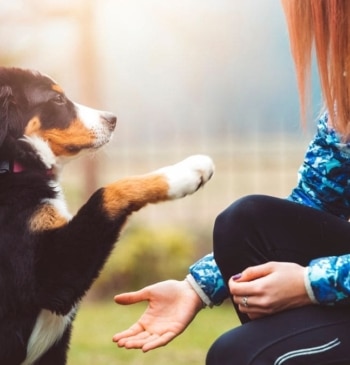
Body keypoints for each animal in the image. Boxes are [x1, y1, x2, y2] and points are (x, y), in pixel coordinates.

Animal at [0, 67, 213, 362]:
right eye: (57, 99)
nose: (112, 119)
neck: (12, 164)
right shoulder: (50, 274)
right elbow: (109, 191)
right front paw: (187, 172)